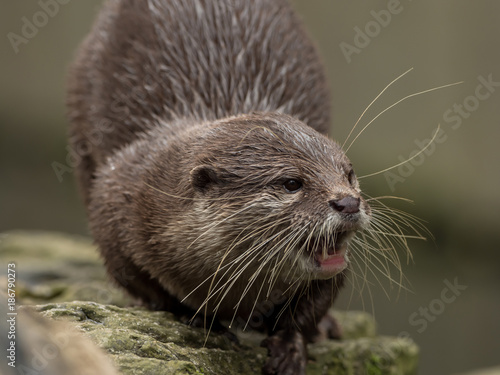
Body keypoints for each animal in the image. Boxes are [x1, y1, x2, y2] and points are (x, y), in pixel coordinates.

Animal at [65, 1, 372, 374]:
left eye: (349, 173)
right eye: (291, 183)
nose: (348, 202)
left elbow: (314, 303)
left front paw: (291, 345)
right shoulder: (114, 208)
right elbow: (148, 287)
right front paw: (199, 318)